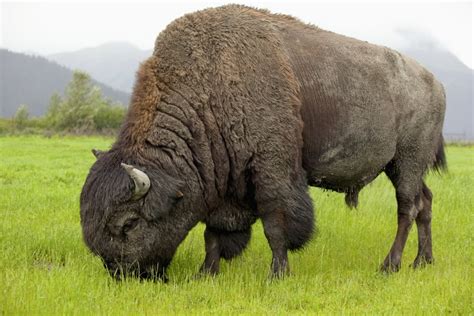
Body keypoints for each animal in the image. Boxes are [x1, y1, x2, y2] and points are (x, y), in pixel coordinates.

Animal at [79, 4, 446, 280]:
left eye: (128, 223)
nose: (123, 275)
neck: (210, 91)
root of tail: (435, 84)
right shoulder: (223, 183)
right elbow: (213, 232)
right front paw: (205, 273)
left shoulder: (272, 171)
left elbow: (275, 225)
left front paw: (277, 274)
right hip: (401, 167)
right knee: (426, 202)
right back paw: (423, 262)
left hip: (407, 161)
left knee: (407, 208)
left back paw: (390, 265)